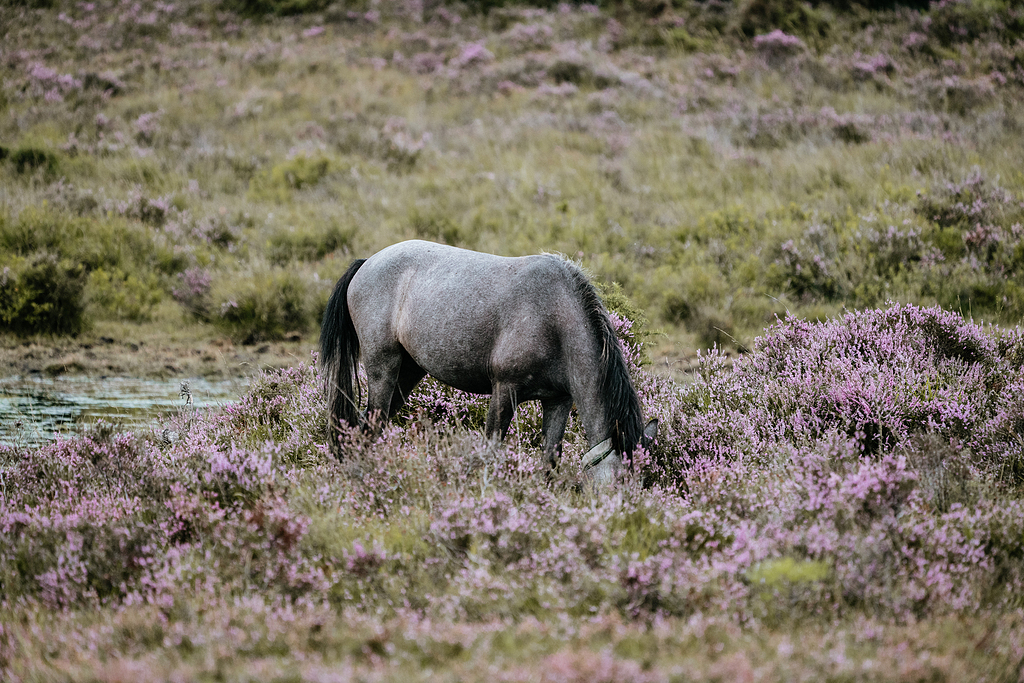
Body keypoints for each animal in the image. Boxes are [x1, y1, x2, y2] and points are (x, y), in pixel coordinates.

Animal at [317, 240, 655, 485]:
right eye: (619, 484)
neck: (554, 318)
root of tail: (366, 263)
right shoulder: (505, 391)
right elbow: (491, 449)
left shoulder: (558, 401)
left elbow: (549, 459)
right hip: (383, 368)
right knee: (370, 427)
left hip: (408, 372)